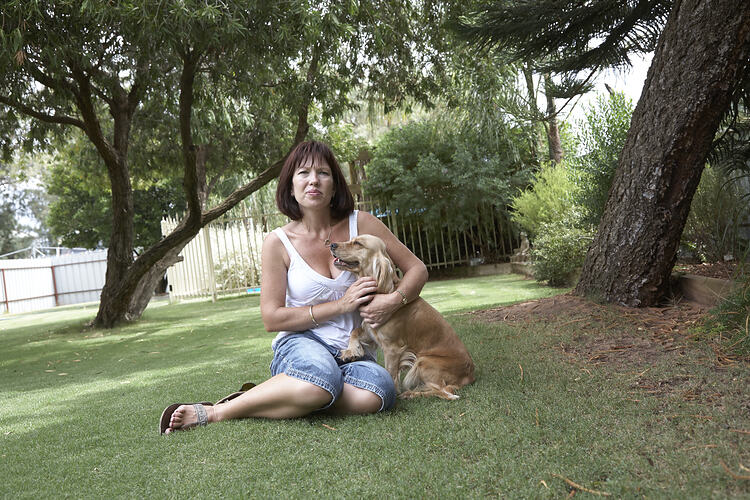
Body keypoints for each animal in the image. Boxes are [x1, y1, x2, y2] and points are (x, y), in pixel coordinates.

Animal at [330, 235, 476, 402]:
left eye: (358, 243)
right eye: (352, 239)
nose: (332, 244)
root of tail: (471, 375)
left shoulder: (392, 348)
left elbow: (390, 372)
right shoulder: (371, 331)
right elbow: (354, 331)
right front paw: (351, 351)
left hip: (424, 361)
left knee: (444, 392)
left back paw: (411, 393)